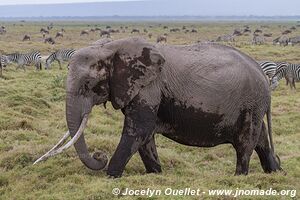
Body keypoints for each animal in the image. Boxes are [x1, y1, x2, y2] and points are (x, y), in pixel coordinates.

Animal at [35, 36, 282, 177]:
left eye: (88, 84)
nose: (99, 156)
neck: (111, 47)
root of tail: (262, 74)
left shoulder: (148, 87)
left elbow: (139, 129)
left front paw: (111, 176)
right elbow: (145, 135)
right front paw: (155, 174)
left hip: (251, 103)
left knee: (245, 143)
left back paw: (239, 177)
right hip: (253, 106)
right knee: (261, 139)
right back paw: (275, 173)